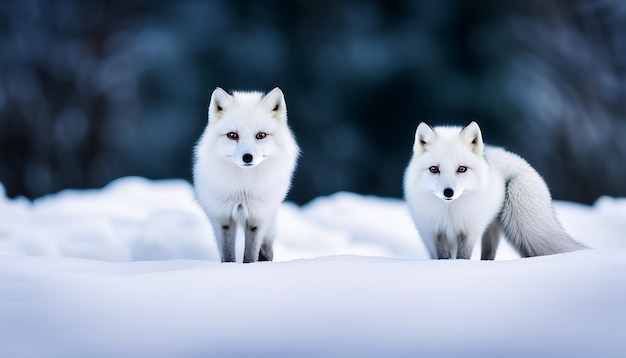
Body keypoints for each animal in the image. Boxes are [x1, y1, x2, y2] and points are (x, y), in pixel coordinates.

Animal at [194, 87, 298, 262]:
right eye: (232, 135)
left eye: (261, 135)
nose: (247, 157)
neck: (243, 188)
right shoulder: (223, 217)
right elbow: (228, 255)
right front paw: (230, 266)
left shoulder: (257, 217)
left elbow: (250, 256)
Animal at [404, 121, 584, 258]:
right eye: (434, 169)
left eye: (461, 169)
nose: (448, 192)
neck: (449, 213)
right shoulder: (432, 233)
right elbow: (442, 258)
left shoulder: (469, 231)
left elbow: (463, 257)